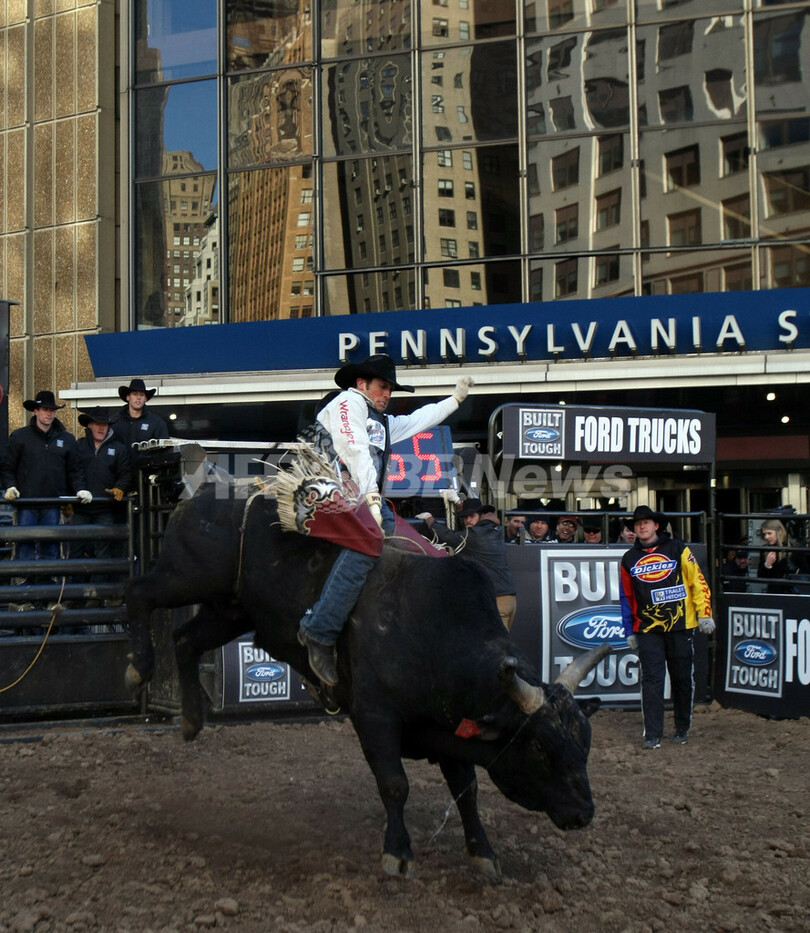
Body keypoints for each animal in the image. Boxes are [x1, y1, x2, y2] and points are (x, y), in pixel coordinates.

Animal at [125, 481, 610, 881]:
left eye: (584, 743)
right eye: (541, 747)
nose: (584, 813)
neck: (432, 629)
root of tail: (197, 497)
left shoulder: (451, 727)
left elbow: (466, 790)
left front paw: (483, 855)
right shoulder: (375, 717)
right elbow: (395, 784)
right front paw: (397, 855)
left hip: (231, 608)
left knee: (184, 641)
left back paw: (191, 719)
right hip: (187, 577)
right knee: (139, 593)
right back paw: (139, 668)